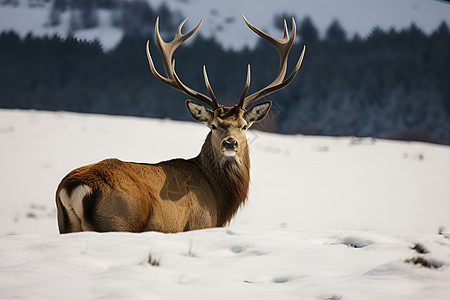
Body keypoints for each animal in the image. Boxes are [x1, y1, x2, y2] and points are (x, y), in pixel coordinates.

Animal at [54, 15, 304, 233]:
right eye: (214, 125)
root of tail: (73, 188)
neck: (218, 197)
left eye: (243, 125)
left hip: (67, 226)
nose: (230, 143)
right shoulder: (198, 224)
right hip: (118, 220)